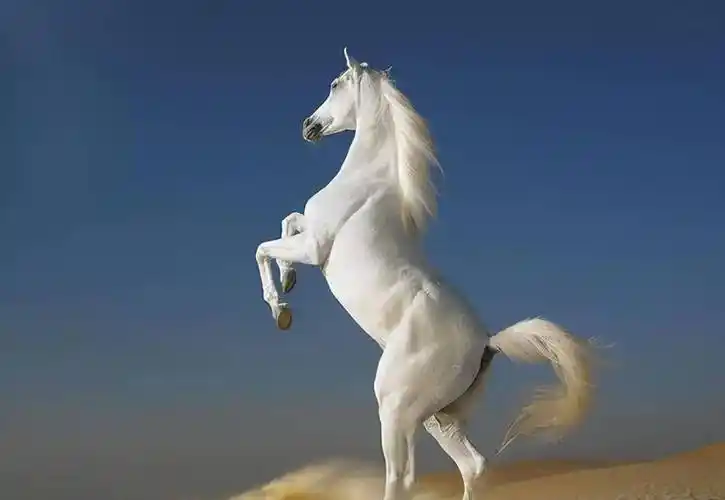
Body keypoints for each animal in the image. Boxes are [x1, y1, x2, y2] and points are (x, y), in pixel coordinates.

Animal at [254, 48, 596, 500]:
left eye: (334, 84)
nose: (308, 126)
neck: (369, 182)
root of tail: (487, 343)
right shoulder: (308, 234)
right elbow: (288, 221)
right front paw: (289, 281)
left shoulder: (315, 247)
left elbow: (264, 246)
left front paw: (281, 309)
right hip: (437, 418)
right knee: (473, 466)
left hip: (396, 408)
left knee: (403, 478)